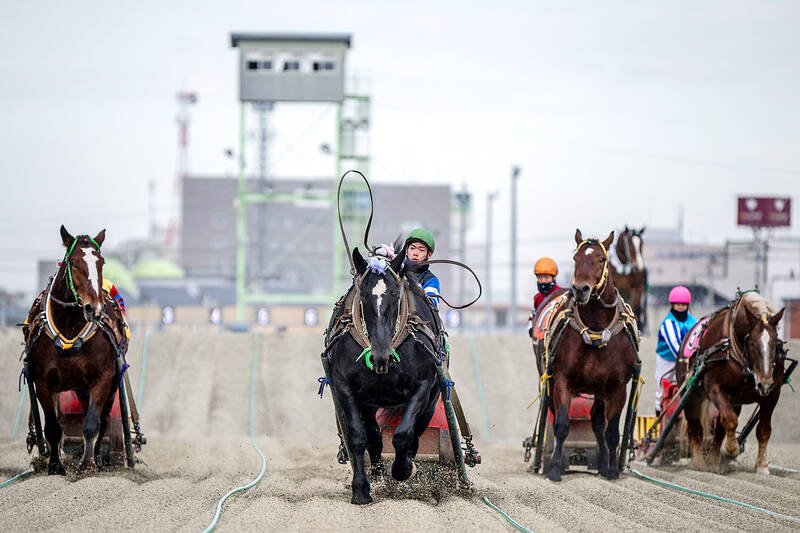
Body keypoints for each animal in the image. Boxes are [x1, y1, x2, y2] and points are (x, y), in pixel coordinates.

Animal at [22, 226, 126, 475]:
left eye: (101, 262)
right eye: (75, 263)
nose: (94, 308)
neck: (69, 327)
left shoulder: (102, 379)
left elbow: (91, 424)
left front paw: (87, 465)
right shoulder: (43, 382)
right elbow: (53, 426)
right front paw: (55, 466)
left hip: (108, 387)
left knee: (103, 421)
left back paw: (98, 459)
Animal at [323, 241, 444, 504]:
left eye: (396, 295)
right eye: (363, 296)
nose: (382, 355)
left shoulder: (422, 387)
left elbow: (403, 435)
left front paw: (402, 470)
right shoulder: (344, 386)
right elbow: (357, 437)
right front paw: (361, 490)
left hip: (432, 400)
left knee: (416, 434)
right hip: (368, 402)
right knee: (374, 437)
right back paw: (377, 471)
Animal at [538, 229, 640, 481]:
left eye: (601, 260)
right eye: (576, 258)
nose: (580, 289)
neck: (595, 328)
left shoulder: (617, 387)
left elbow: (611, 431)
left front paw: (612, 470)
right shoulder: (561, 380)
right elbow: (561, 424)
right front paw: (554, 468)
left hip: (601, 391)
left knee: (598, 422)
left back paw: (604, 463)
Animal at [676, 292, 786, 474]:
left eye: (775, 343)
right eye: (752, 343)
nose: (764, 384)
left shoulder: (773, 393)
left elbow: (763, 430)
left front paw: (762, 467)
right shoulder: (715, 388)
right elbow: (730, 419)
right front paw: (731, 450)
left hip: (735, 400)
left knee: (719, 430)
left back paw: (713, 461)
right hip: (691, 394)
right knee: (696, 428)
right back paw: (699, 463)